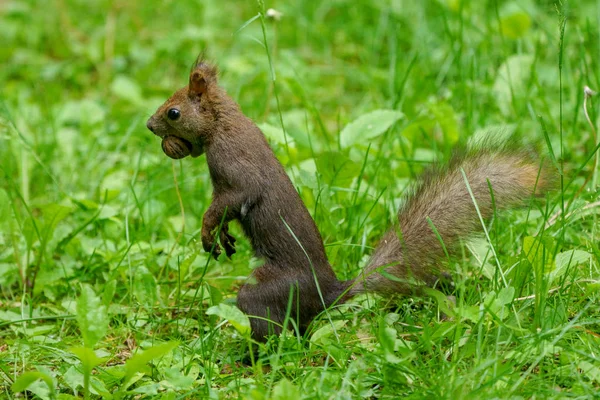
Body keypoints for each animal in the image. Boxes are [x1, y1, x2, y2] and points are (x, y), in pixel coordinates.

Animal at [146, 59, 552, 340]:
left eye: (174, 112)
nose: (150, 125)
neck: (222, 123)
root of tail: (331, 294)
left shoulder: (235, 170)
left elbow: (228, 201)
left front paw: (208, 230)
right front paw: (223, 236)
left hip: (270, 292)